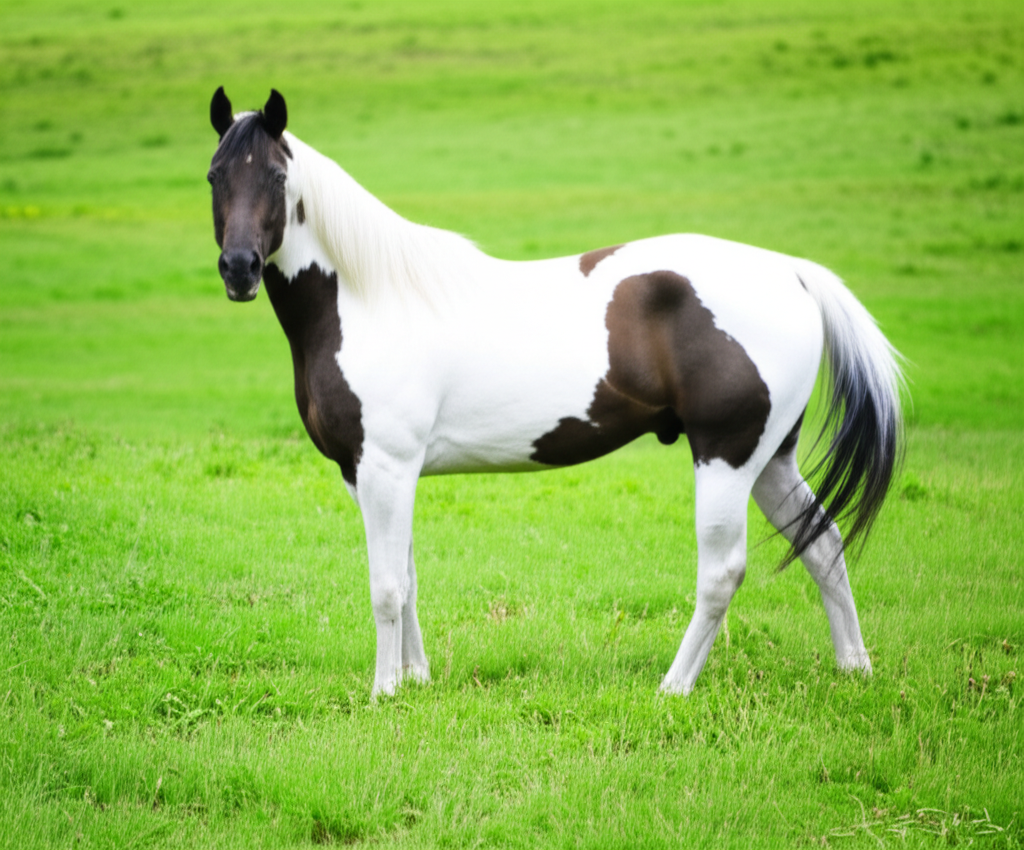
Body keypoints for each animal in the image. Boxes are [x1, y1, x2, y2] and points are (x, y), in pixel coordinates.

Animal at [207, 87, 904, 698]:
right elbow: (406, 577)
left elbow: (385, 586)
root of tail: (791, 271)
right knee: (824, 544)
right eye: (215, 176)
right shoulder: (370, 473)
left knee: (722, 572)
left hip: (725, 457)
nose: (239, 269)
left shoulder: (386, 467)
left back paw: (674, 686)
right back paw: (854, 667)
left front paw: (384, 691)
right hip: (769, 460)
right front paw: (416, 679)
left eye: (276, 178)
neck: (370, 297)